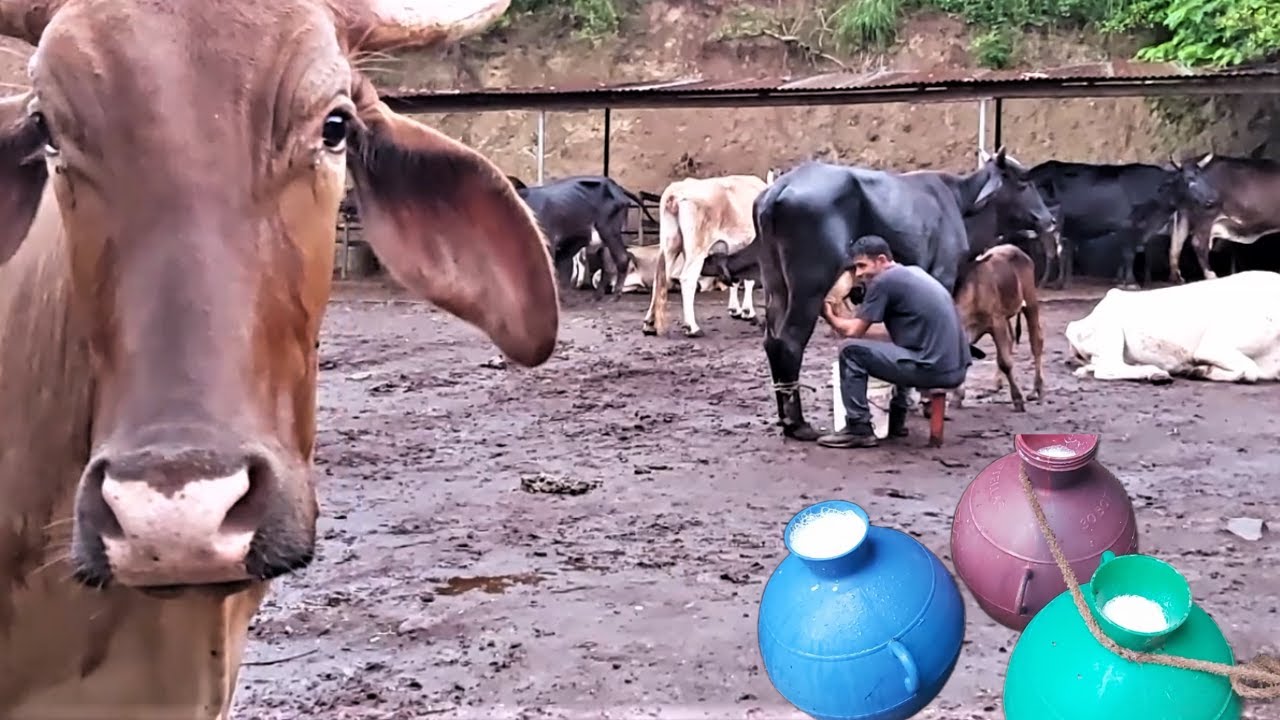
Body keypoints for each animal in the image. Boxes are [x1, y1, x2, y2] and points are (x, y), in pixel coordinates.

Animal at [642, 174, 768, 338]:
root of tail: (677, 191)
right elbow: (748, 280)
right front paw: (748, 312)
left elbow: (736, 280)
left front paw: (736, 310)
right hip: (697, 249)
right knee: (687, 279)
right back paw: (692, 327)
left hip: (669, 245)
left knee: (659, 278)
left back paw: (649, 324)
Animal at [953, 244, 1046, 411]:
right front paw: (957, 396)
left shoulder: (996, 322)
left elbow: (1005, 362)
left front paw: (1017, 399)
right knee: (1010, 339)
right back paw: (997, 383)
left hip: (1030, 301)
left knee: (1036, 340)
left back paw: (1037, 389)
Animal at [1027, 158, 1219, 289]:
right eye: (1189, 179)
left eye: (1203, 177)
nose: (1211, 200)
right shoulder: (1128, 224)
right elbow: (1128, 254)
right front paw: (1131, 282)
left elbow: (1127, 254)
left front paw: (1121, 280)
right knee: (1050, 251)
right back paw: (1046, 282)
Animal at [1066, 271, 1280, 383]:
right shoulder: (1213, 346)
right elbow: (1250, 370)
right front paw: (1199, 370)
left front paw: (1200, 370)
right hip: (1110, 333)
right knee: (1107, 369)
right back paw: (1155, 373)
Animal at [1169, 153, 1280, 283]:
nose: (1210, 200)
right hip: (1205, 217)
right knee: (1197, 243)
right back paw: (1210, 275)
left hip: (1184, 216)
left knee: (1176, 244)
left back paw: (1176, 278)